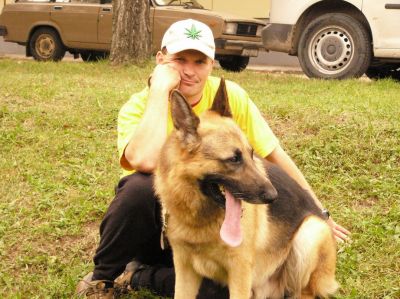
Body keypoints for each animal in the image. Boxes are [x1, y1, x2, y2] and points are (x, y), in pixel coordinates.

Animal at [154, 78, 338, 298]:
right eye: (234, 159)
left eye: (251, 154)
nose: (273, 196)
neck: (200, 220)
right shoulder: (185, 270)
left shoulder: (239, 272)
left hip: (311, 233)